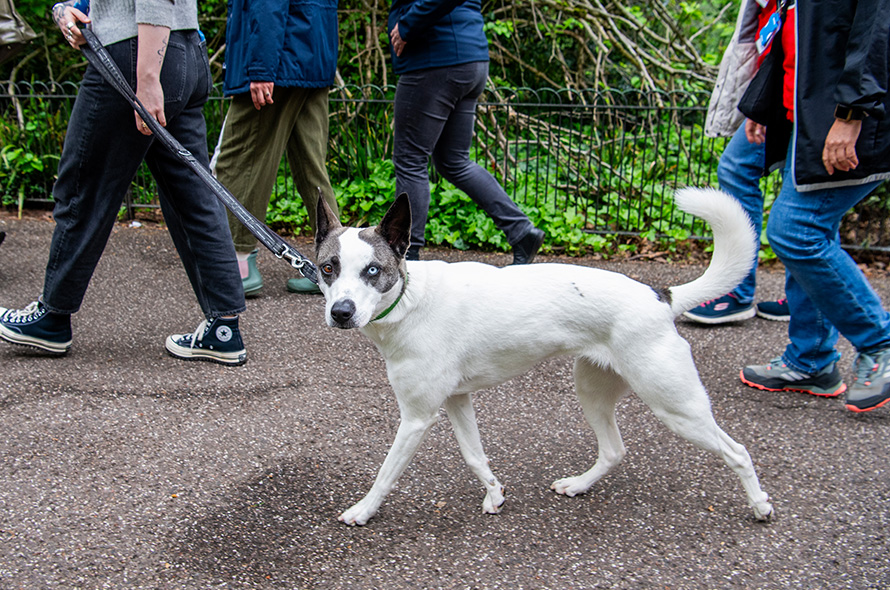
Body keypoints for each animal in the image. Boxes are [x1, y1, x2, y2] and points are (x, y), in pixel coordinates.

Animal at [318, 188, 772, 528]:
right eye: (327, 268)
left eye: (373, 271)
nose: (340, 312)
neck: (410, 300)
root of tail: (660, 295)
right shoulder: (456, 401)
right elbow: (474, 455)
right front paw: (495, 494)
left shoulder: (416, 418)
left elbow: (385, 472)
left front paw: (363, 510)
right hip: (591, 391)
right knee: (613, 450)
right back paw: (579, 485)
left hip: (676, 406)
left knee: (737, 452)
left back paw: (760, 505)